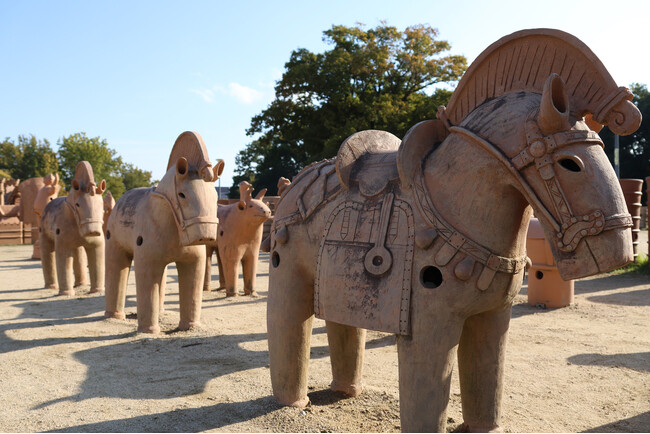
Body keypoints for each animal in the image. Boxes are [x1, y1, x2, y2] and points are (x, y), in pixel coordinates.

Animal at [266, 28, 640, 432]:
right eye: (570, 163)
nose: (619, 250)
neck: (452, 204)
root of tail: (293, 183)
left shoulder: (495, 316)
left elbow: (487, 372)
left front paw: (486, 427)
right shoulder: (430, 321)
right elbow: (427, 387)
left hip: (335, 278)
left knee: (342, 321)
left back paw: (347, 392)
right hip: (288, 270)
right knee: (287, 323)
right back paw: (292, 402)